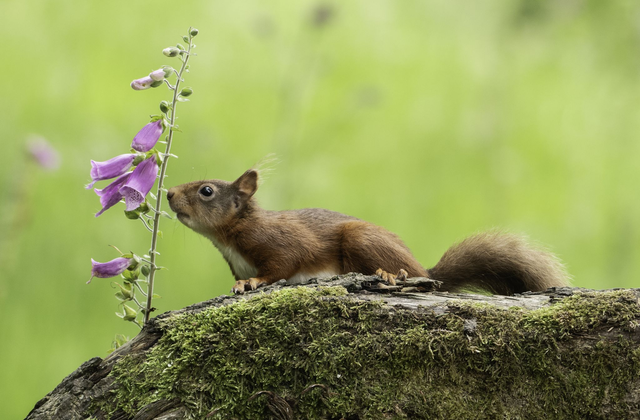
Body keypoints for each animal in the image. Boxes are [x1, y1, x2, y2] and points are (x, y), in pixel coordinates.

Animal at [167, 169, 569, 295]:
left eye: (206, 191)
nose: (168, 193)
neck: (230, 237)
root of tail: (425, 269)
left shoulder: (281, 243)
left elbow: (282, 265)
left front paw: (253, 282)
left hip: (363, 240)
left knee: (405, 271)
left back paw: (391, 274)